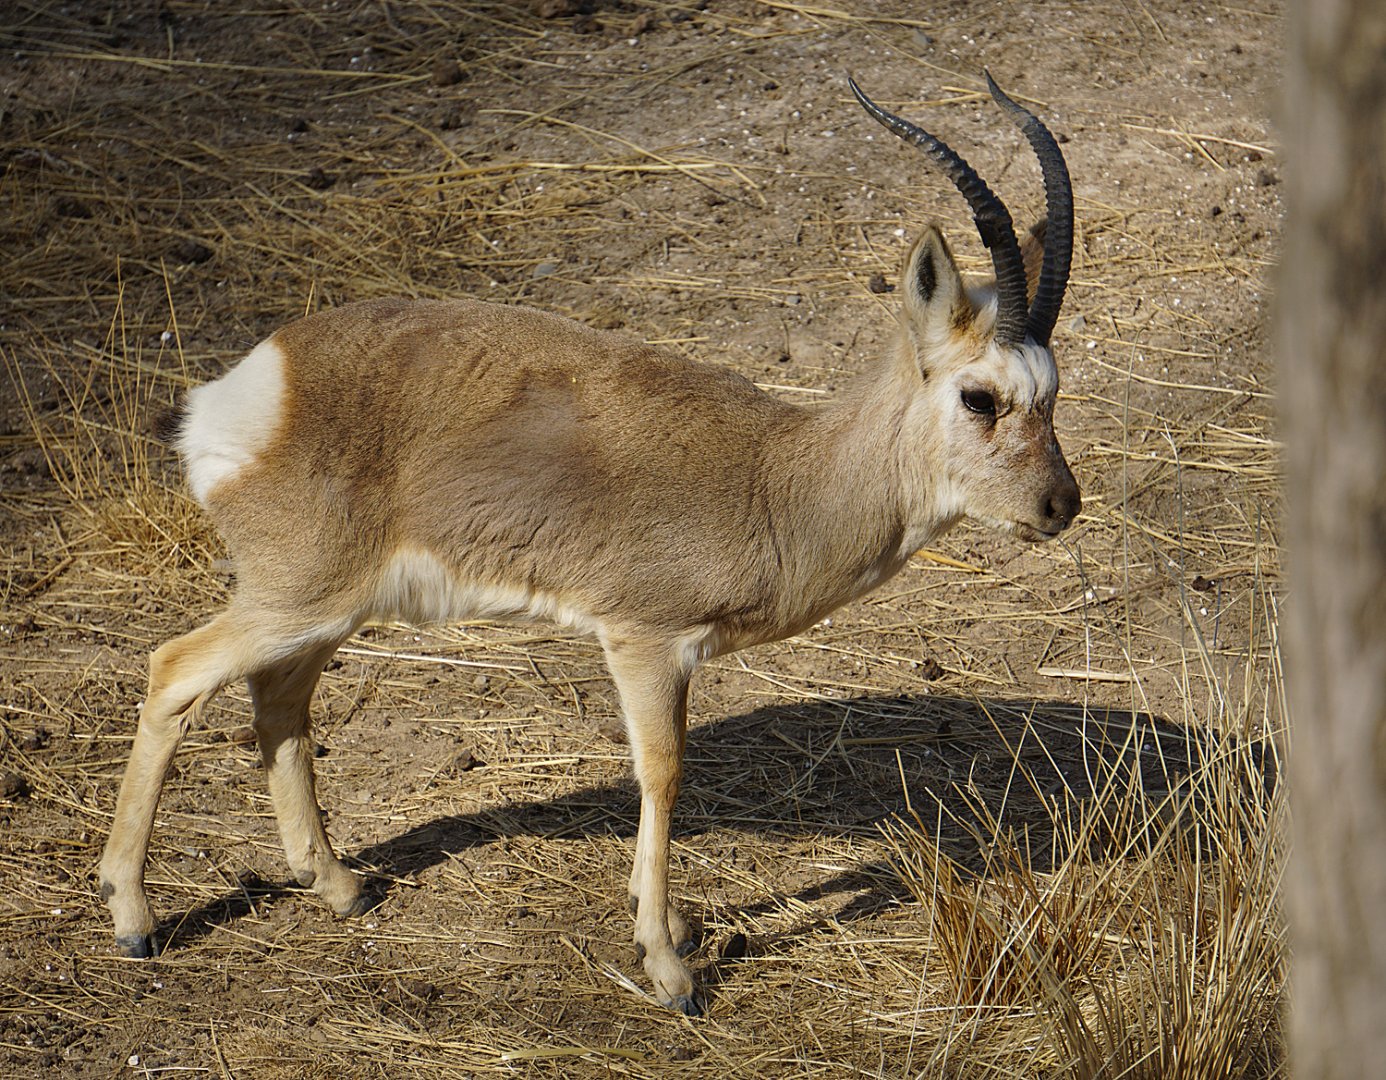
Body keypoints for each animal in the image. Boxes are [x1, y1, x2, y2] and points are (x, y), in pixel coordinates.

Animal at [99, 73, 1080, 1016]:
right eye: (980, 396)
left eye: (1052, 391)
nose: (1060, 504)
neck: (773, 477)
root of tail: (247, 390)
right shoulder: (645, 640)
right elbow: (664, 774)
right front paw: (670, 970)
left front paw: (674, 929)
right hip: (294, 599)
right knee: (173, 670)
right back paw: (133, 920)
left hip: (326, 611)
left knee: (277, 705)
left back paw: (340, 887)